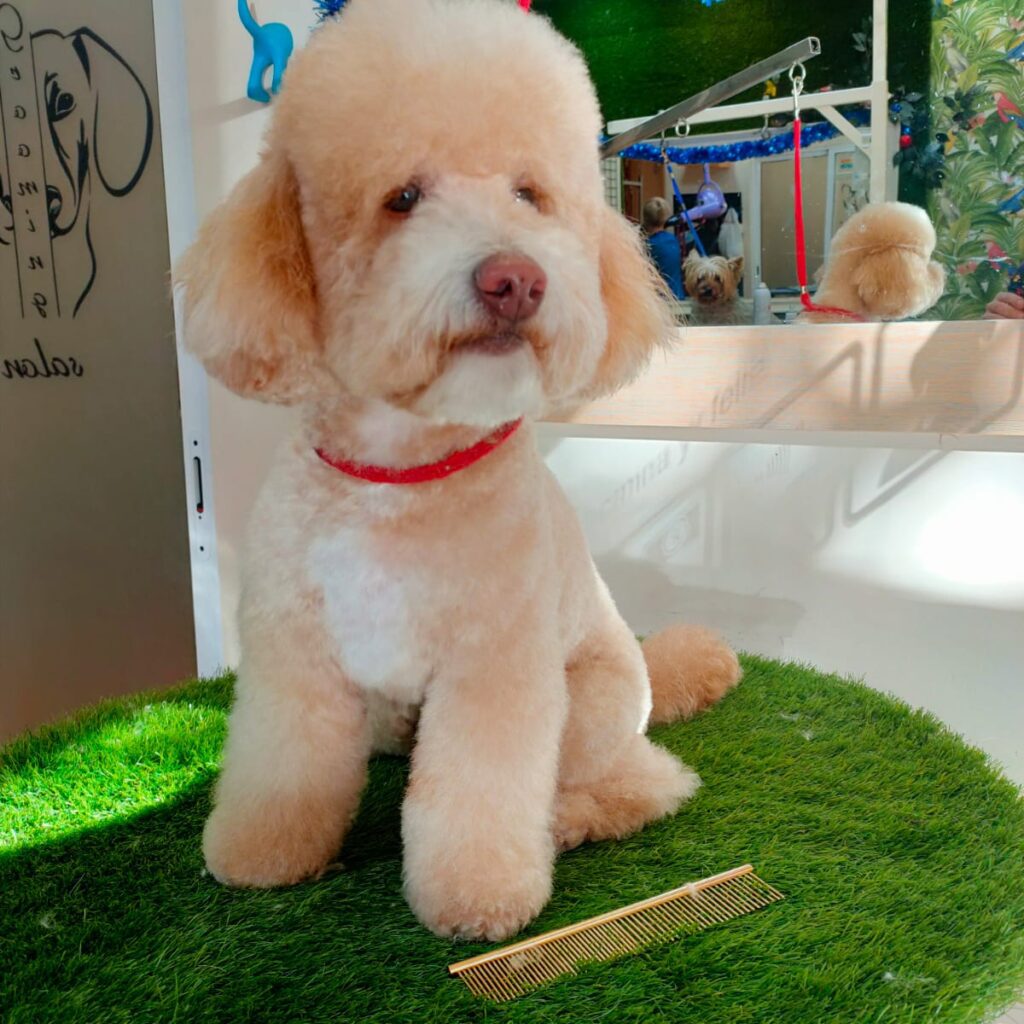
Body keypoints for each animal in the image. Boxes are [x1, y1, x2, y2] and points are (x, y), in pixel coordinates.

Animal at [174, 0, 737, 942]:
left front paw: (480, 894)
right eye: (402, 198)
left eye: (529, 194)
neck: (396, 478)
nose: (516, 279)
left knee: (644, 781)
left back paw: (573, 818)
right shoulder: (296, 655)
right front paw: (263, 850)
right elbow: (282, 764)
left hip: (590, 707)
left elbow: (479, 790)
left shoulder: (495, 668)